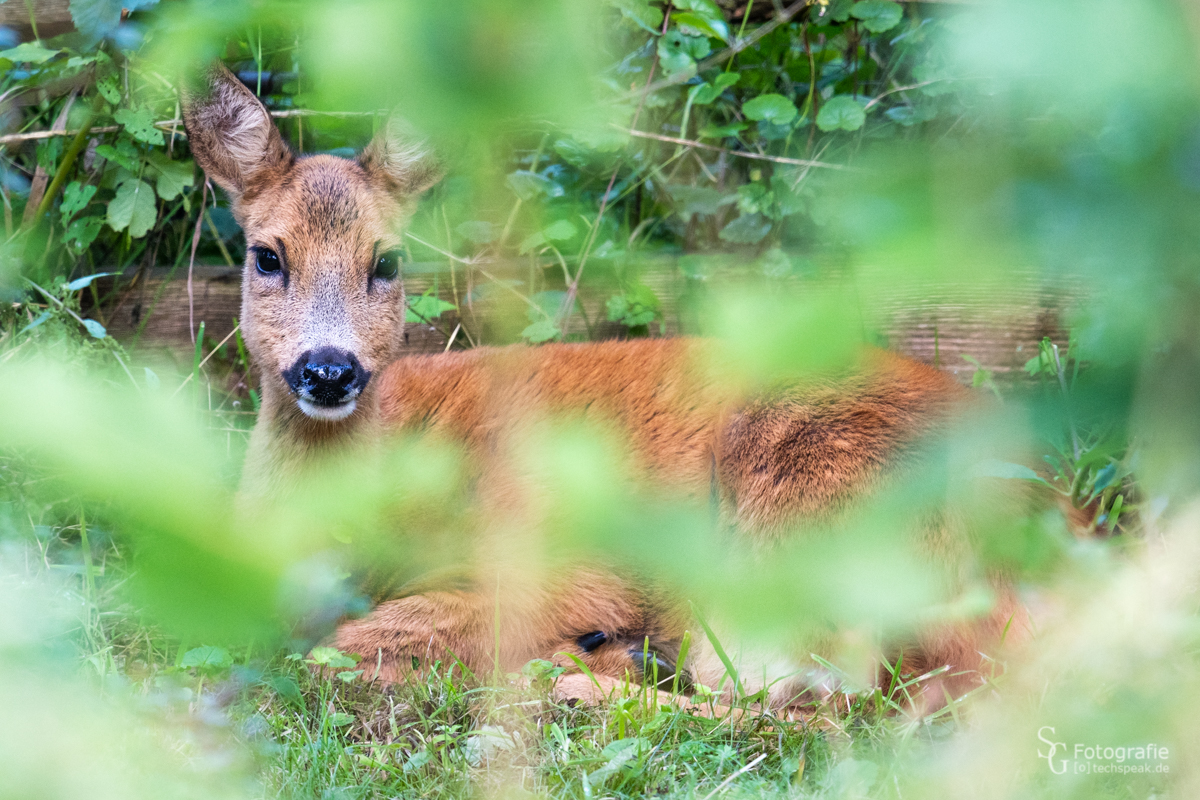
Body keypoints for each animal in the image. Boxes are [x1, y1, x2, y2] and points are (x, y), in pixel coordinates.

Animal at [182, 64, 1027, 714]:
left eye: (385, 261)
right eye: (266, 255)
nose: (330, 369)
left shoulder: (561, 561)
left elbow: (347, 643)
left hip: (799, 522)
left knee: (821, 707)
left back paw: (581, 681)